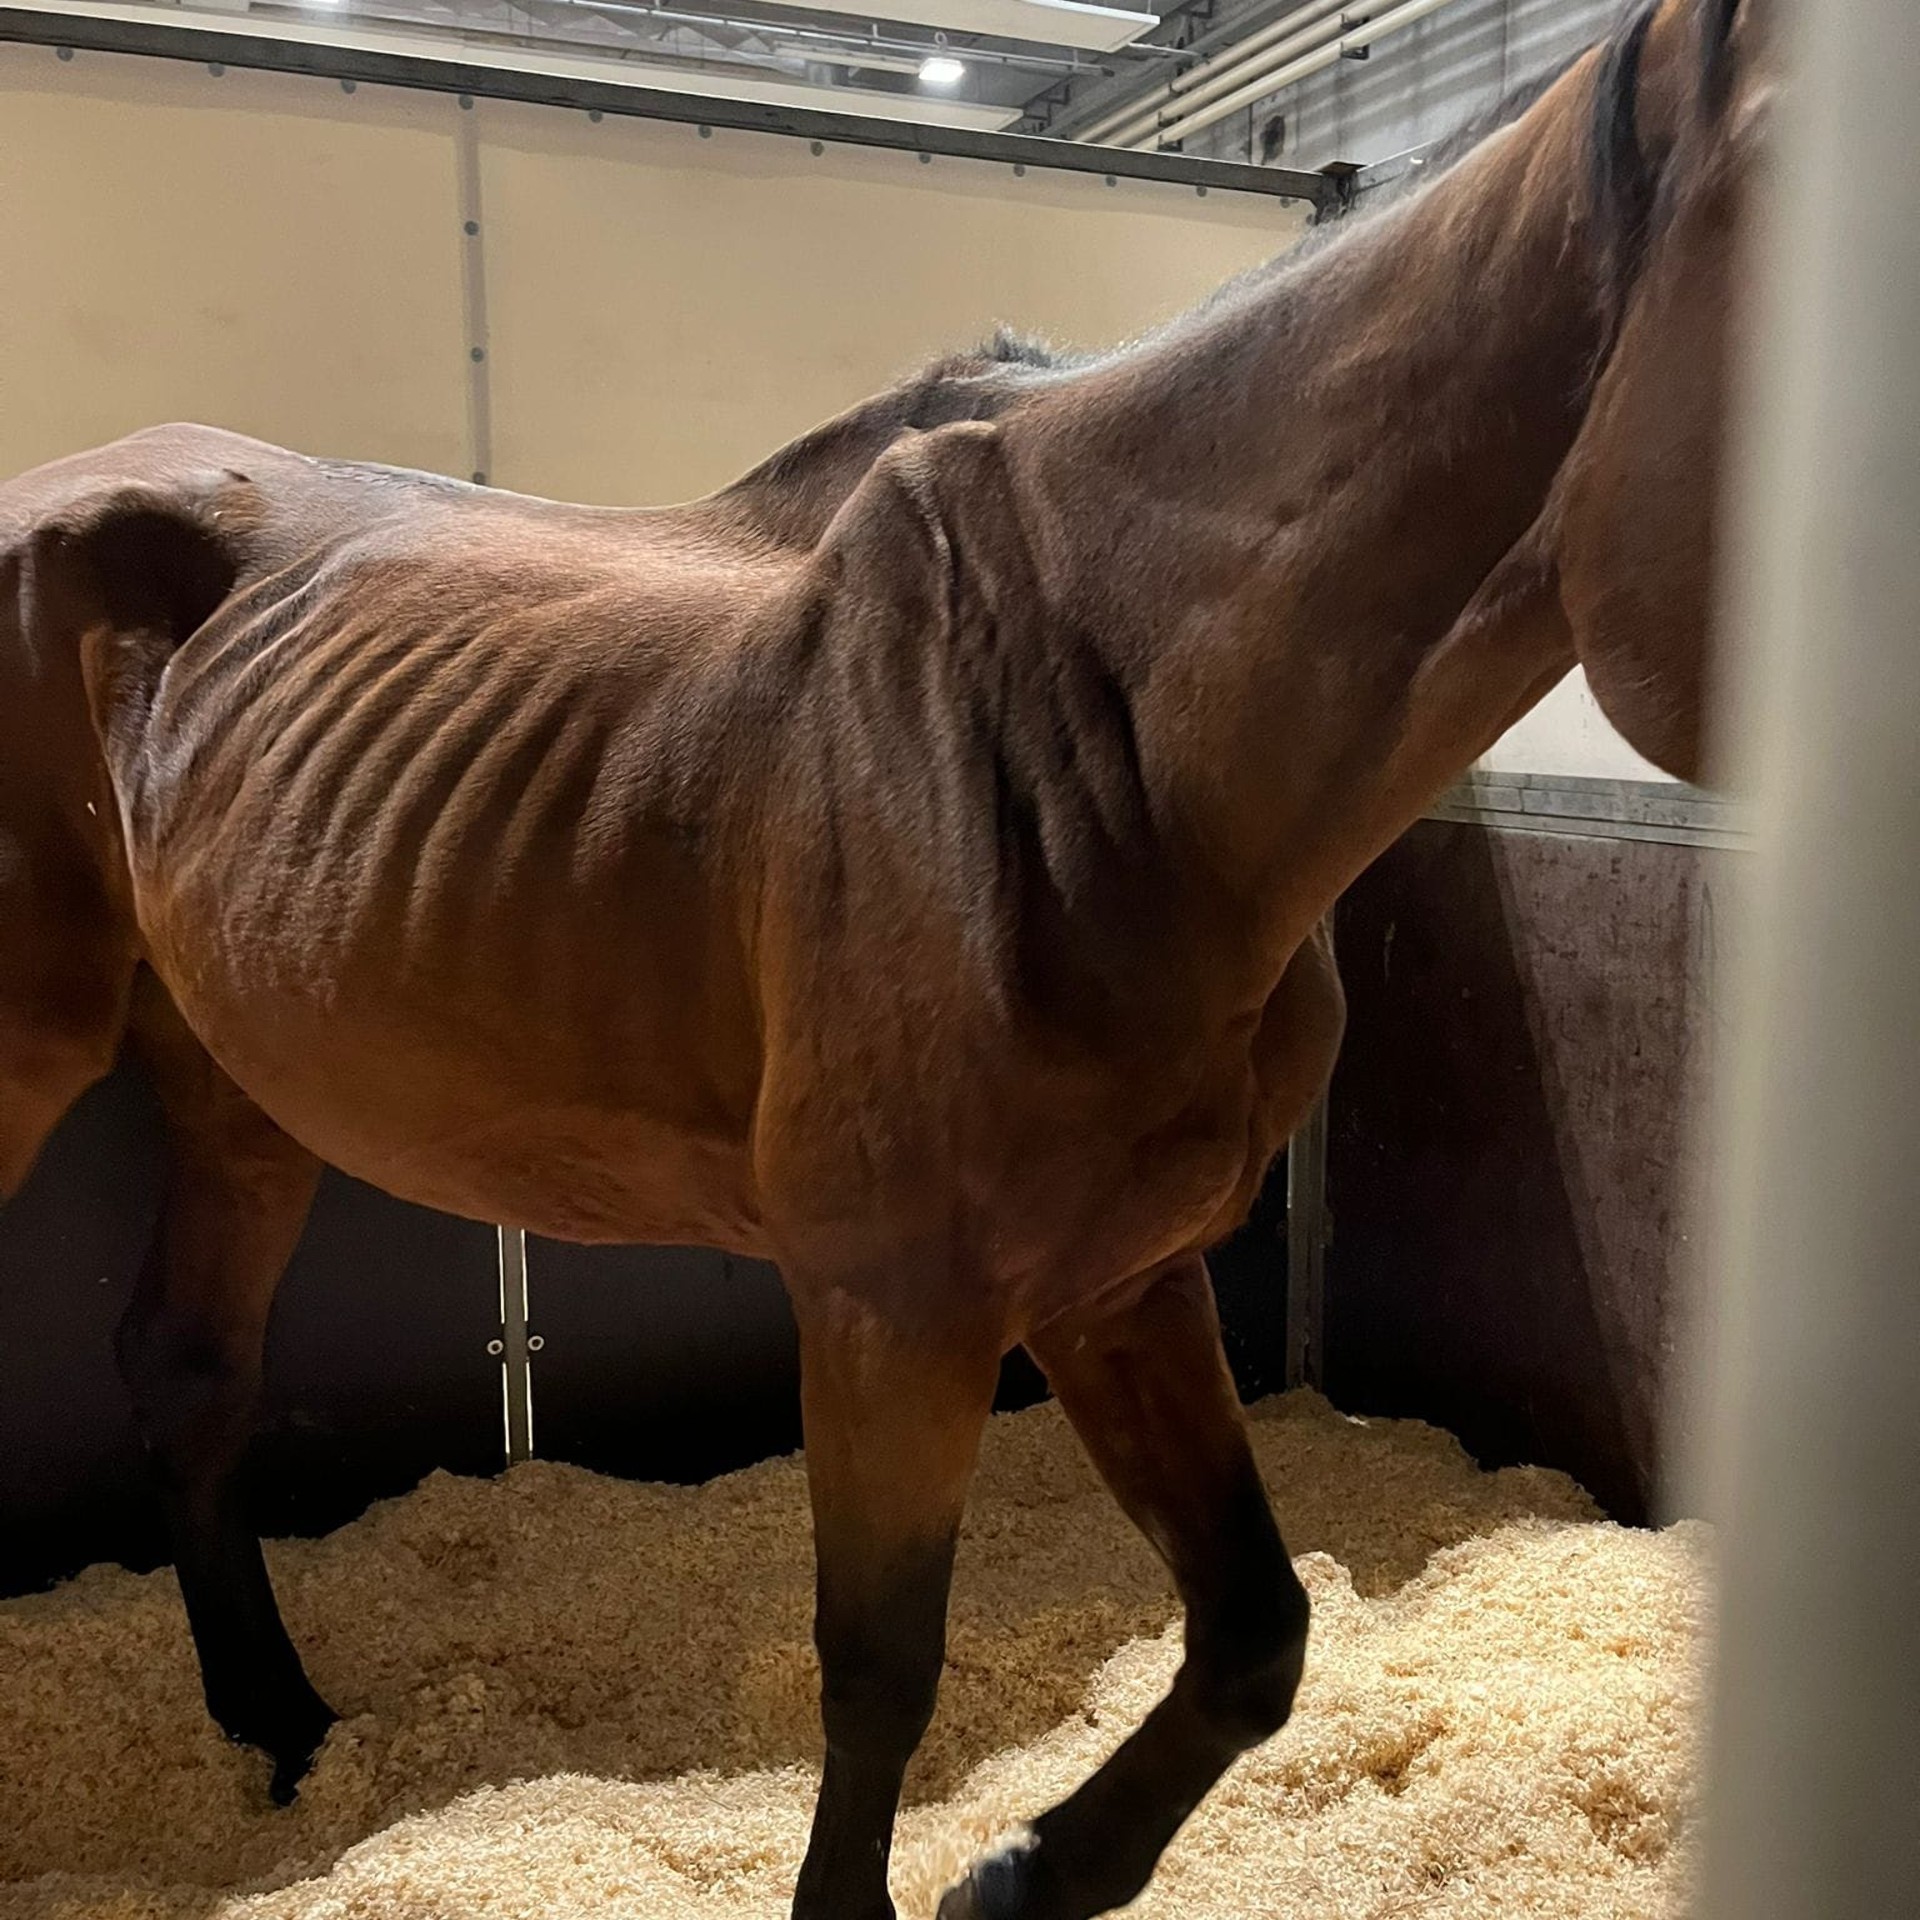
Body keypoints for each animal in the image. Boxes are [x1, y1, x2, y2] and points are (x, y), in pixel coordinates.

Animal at [0, 3, 1765, 1915]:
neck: (1103, 734)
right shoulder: (889, 1305)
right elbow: (879, 1669)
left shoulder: (1118, 1277)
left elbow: (1253, 1632)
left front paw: (1031, 1871)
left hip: (232, 1089)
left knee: (188, 1369)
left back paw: (280, 1729)